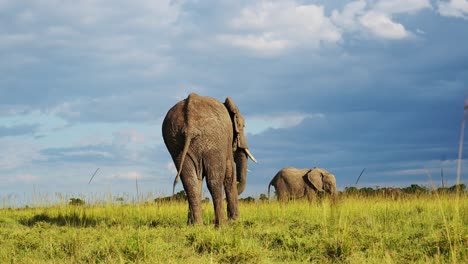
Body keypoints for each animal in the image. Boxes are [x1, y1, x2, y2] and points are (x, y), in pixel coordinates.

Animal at [161, 92, 256, 225]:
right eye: (243, 126)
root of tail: (189, 120)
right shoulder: (225, 144)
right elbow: (229, 174)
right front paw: (235, 221)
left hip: (174, 140)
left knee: (190, 182)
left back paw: (197, 225)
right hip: (213, 141)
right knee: (214, 180)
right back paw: (221, 224)